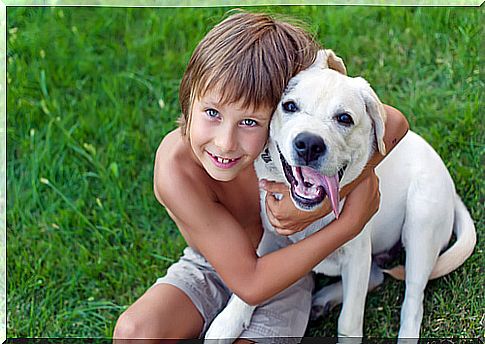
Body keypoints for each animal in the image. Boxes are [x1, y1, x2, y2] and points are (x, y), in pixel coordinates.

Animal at [202, 49, 474, 340]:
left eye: (344, 118)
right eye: (289, 106)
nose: (309, 144)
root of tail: (452, 190)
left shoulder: (357, 255)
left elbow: (349, 322)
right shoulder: (272, 237)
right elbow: (250, 285)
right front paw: (227, 321)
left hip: (421, 225)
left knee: (412, 302)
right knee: (377, 276)